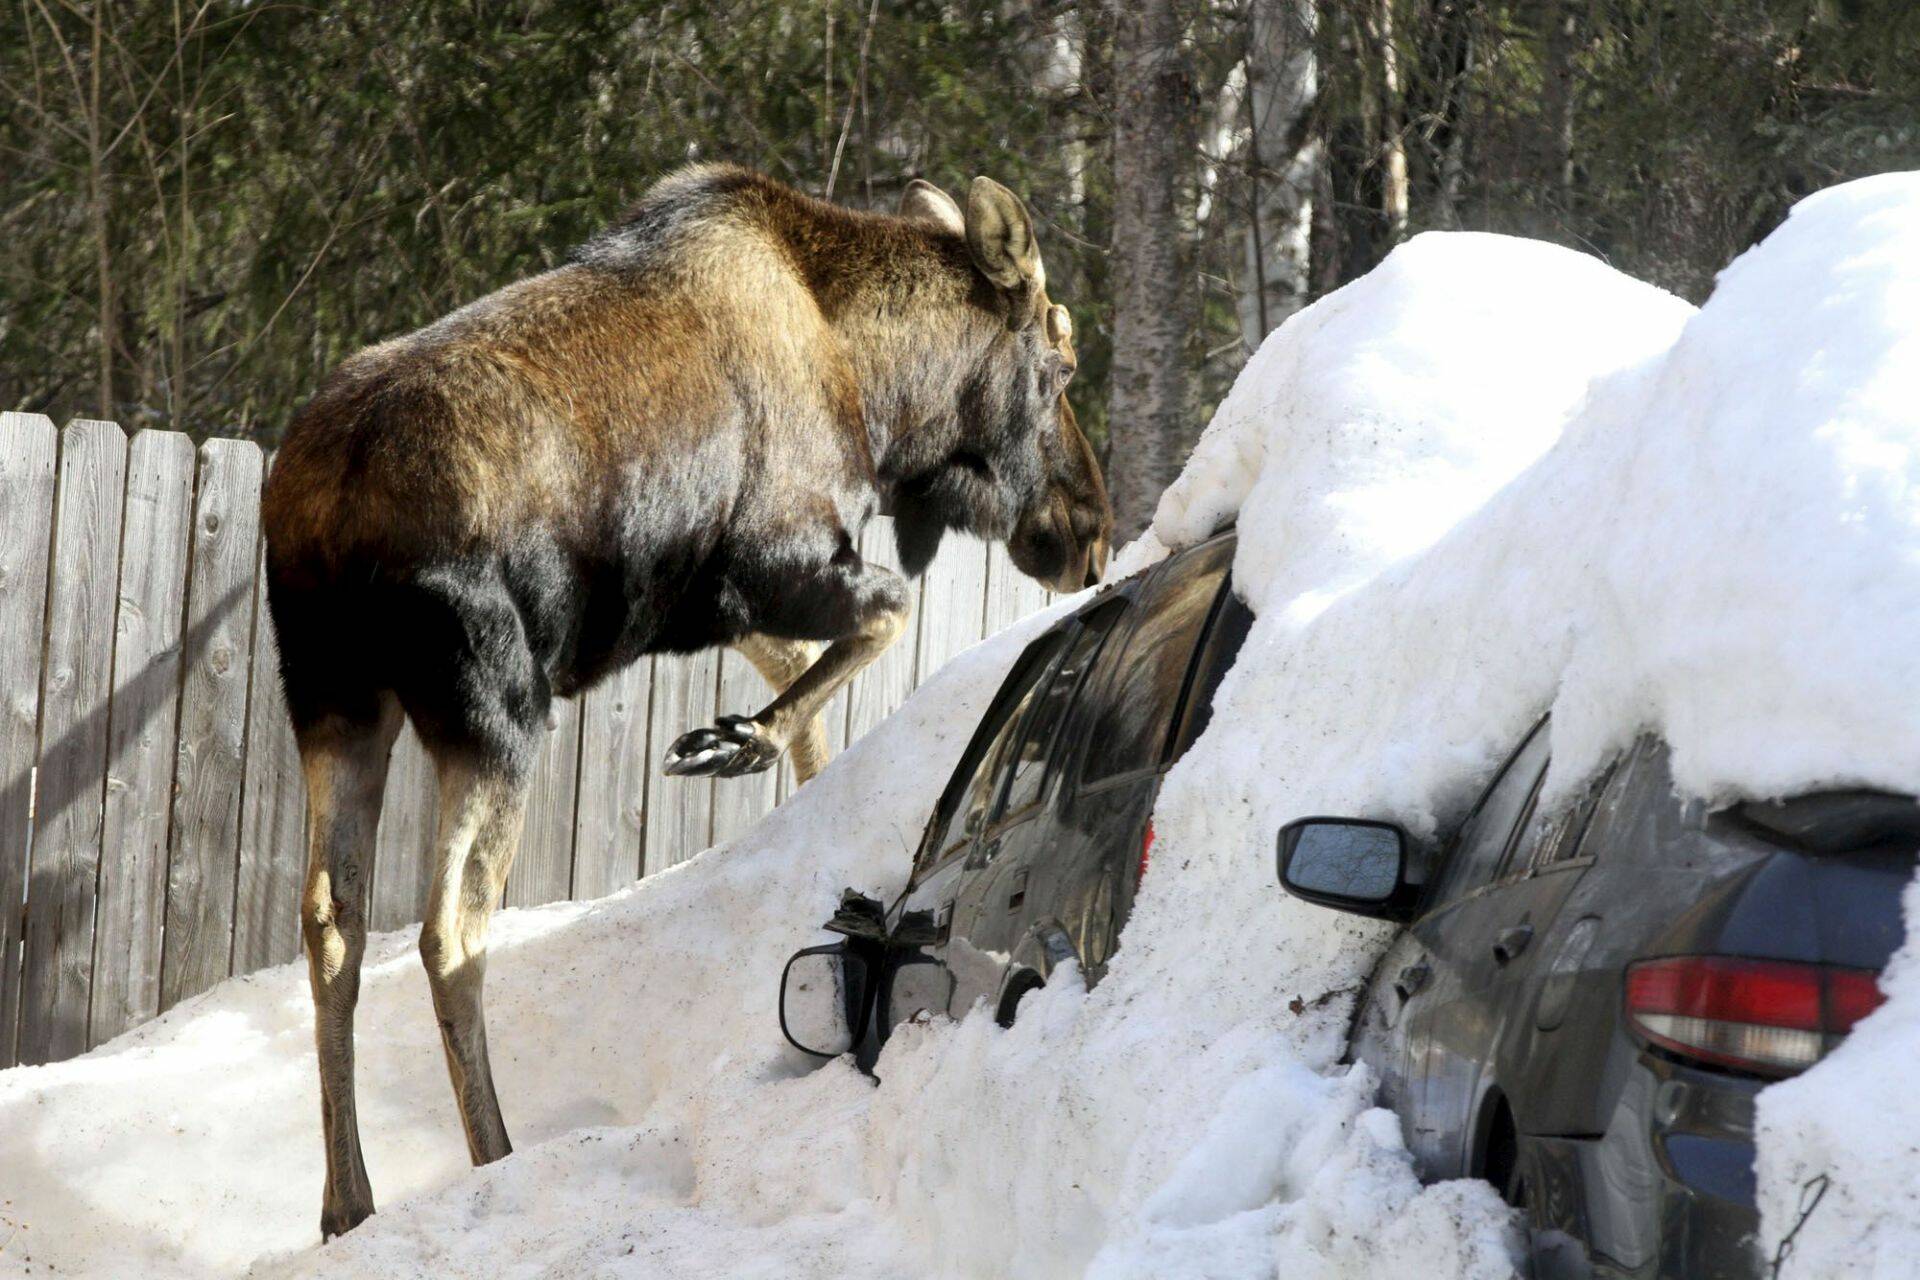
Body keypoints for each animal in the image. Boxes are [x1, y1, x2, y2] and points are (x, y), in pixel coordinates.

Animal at [263, 167, 1121, 1243]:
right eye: (1059, 360)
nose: (1089, 532)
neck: (881, 394)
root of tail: (328, 509)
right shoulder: (774, 556)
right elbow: (886, 613)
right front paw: (737, 741)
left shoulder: (708, 602)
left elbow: (812, 682)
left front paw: (754, 747)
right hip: (496, 704)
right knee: (449, 924)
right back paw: (493, 1156)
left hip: (334, 700)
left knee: (329, 917)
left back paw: (347, 1201)